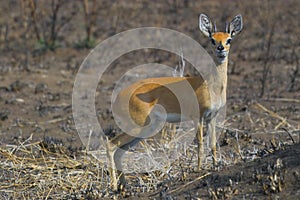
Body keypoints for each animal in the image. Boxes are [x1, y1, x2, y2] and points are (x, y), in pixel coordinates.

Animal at [106, 13, 243, 190]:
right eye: (212, 39)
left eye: (229, 39)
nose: (221, 49)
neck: (210, 85)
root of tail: (117, 98)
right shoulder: (198, 117)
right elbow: (200, 143)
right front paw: (199, 169)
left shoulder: (211, 118)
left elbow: (212, 143)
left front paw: (215, 166)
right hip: (136, 127)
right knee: (110, 145)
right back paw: (114, 186)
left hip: (144, 129)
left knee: (119, 151)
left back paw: (125, 187)